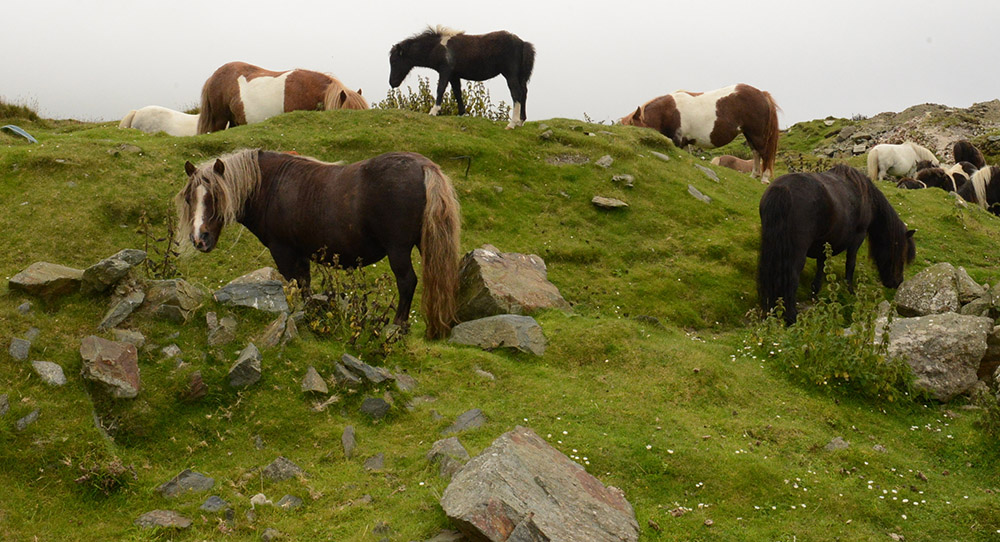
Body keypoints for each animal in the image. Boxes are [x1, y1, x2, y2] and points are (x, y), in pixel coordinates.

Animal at [176, 147, 460, 338]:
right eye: (190, 198)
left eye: (216, 197)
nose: (199, 239)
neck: (271, 186)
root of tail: (423, 166)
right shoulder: (301, 253)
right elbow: (306, 285)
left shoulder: (283, 251)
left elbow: (297, 284)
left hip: (398, 250)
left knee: (407, 282)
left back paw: (399, 325)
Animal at [386, 26, 536, 131]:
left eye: (394, 61)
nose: (392, 83)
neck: (438, 47)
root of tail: (522, 43)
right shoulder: (454, 75)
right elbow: (457, 92)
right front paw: (461, 113)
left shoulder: (445, 71)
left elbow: (440, 89)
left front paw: (433, 111)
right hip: (520, 76)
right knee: (524, 93)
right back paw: (521, 121)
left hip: (510, 75)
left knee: (516, 93)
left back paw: (512, 124)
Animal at [616, 84, 780, 183]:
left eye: (634, 128)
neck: (668, 112)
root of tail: (762, 94)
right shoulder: (684, 143)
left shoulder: (677, 141)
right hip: (749, 134)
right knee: (756, 153)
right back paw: (754, 176)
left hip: (757, 134)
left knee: (764, 153)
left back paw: (764, 179)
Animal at [756, 165, 916, 328]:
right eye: (901, 255)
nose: (897, 282)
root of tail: (782, 189)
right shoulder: (858, 237)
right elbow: (850, 264)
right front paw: (850, 291)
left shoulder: (823, 243)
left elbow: (821, 267)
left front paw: (815, 294)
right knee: (792, 279)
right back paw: (791, 317)